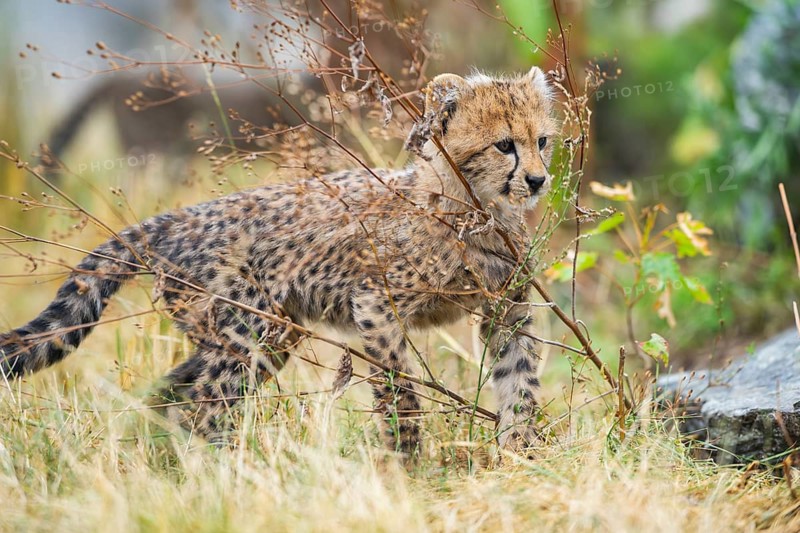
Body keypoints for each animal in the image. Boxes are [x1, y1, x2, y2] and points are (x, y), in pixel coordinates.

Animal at [1, 67, 559, 457]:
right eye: (504, 145)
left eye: (542, 141)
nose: (537, 180)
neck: (476, 209)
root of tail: (176, 217)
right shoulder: (376, 304)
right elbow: (400, 388)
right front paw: (407, 462)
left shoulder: (507, 309)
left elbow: (520, 378)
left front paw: (519, 455)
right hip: (244, 330)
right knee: (206, 403)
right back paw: (221, 472)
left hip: (269, 333)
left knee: (169, 393)